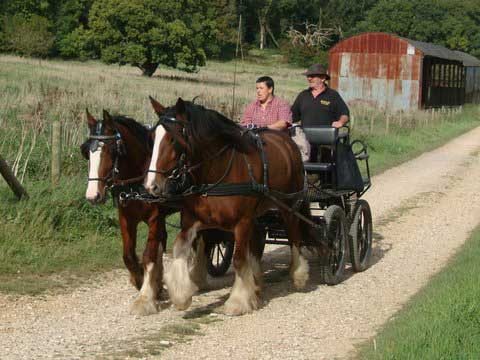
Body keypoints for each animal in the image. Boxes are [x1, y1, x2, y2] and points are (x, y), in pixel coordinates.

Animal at [82, 109, 214, 316]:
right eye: (87, 152)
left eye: (111, 151)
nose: (92, 195)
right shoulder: (126, 217)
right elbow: (129, 255)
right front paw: (141, 281)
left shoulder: (155, 217)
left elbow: (149, 255)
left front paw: (144, 298)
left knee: (201, 238)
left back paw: (198, 277)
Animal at [144, 97, 310, 316]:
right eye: (152, 137)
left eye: (172, 139)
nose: (151, 186)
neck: (217, 171)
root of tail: (288, 142)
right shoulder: (194, 220)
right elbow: (180, 248)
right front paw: (181, 296)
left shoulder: (242, 222)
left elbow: (238, 259)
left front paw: (237, 301)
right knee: (256, 242)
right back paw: (256, 282)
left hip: (288, 205)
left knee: (294, 236)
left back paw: (298, 274)